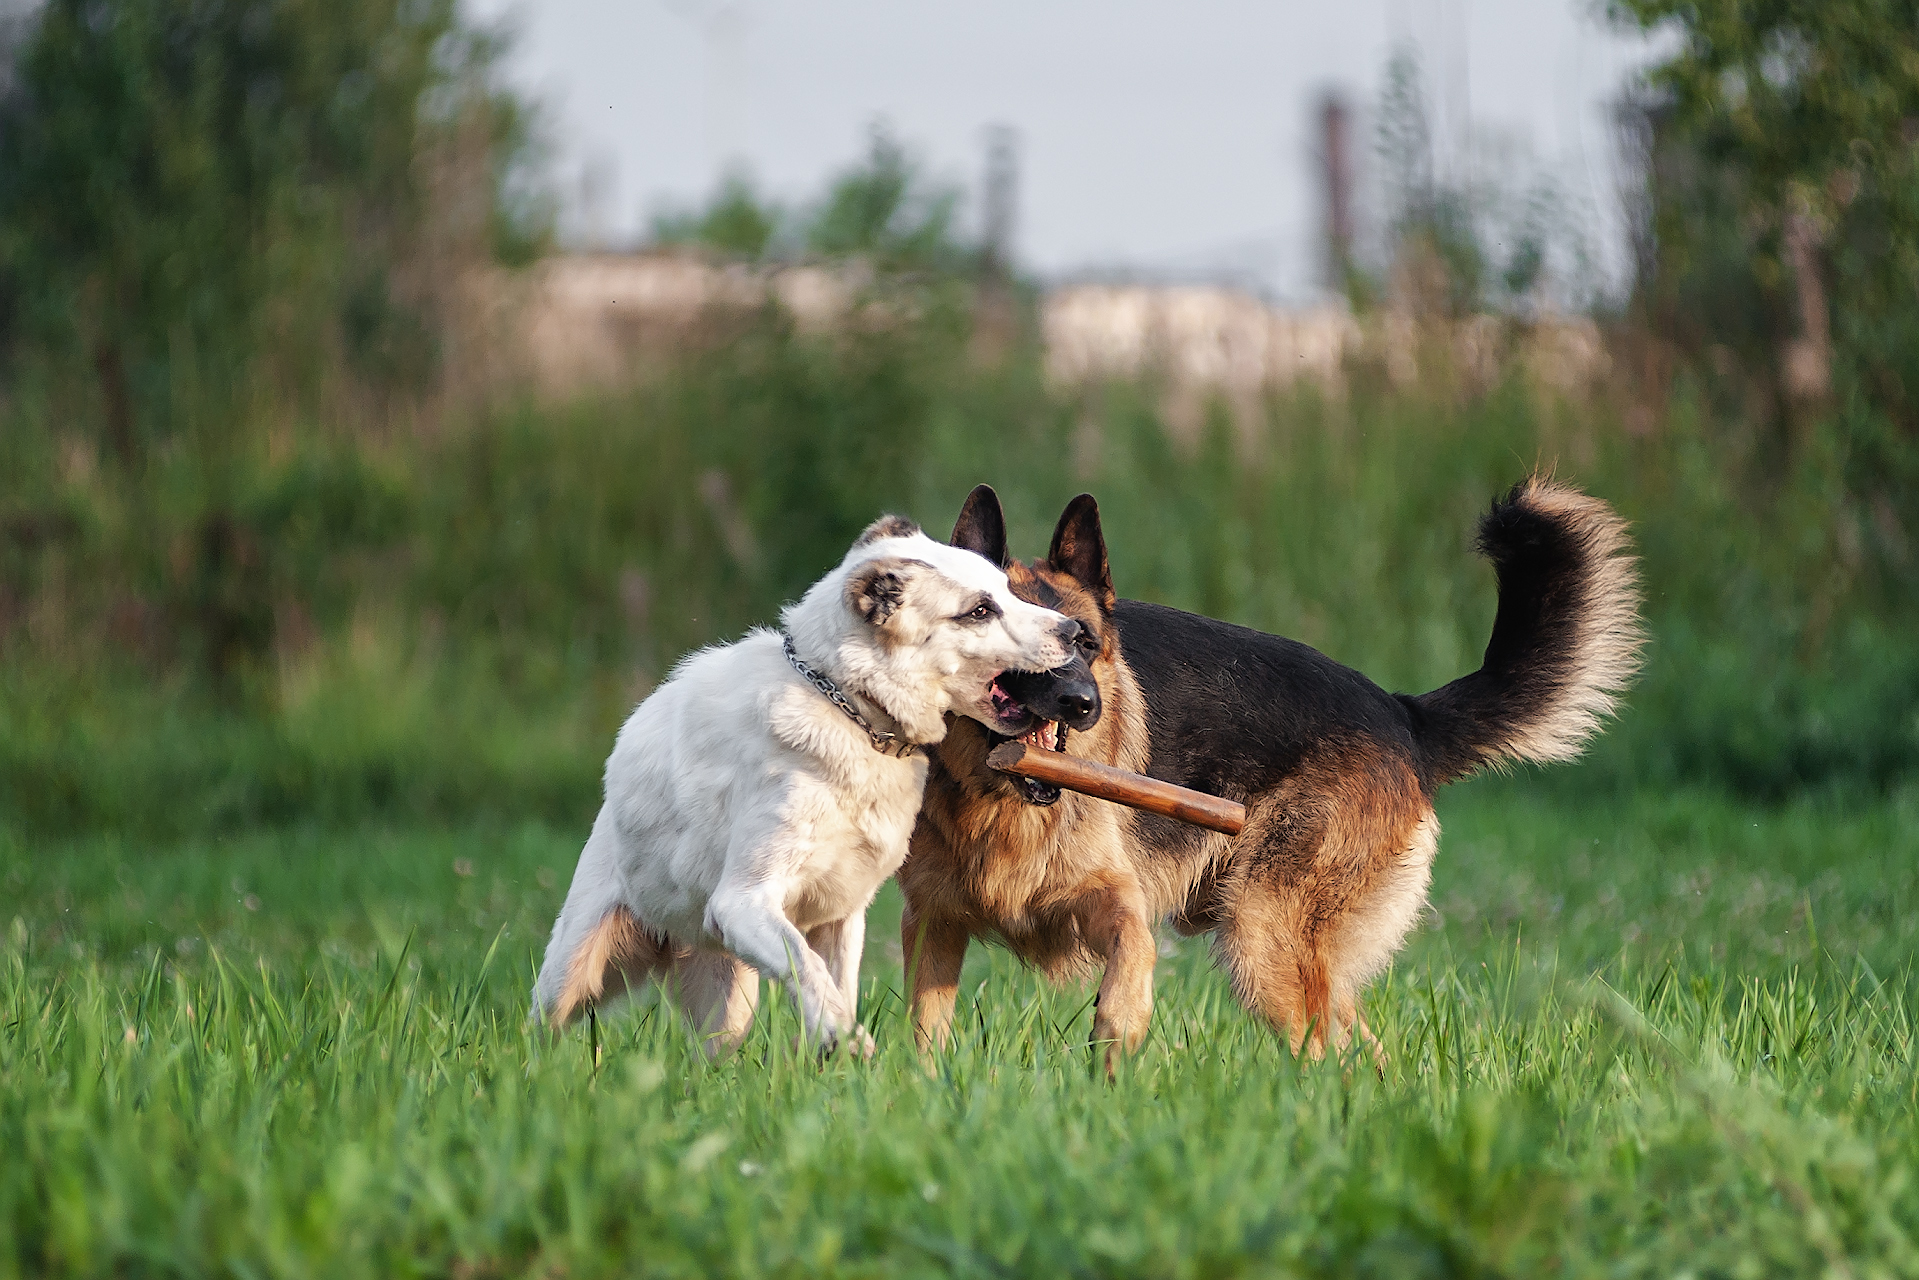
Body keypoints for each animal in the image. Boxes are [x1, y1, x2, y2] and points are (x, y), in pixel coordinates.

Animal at [533, 514, 1082, 1059]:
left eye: (1006, 591)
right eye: (980, 610)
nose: (1075, 631)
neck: (852, 713)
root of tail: (673, 938)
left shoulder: (843, 915)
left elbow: (839, 982)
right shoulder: (743, 902)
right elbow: (809, 970)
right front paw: (844, 1038)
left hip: (727, 1004)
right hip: (571, 971)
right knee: (543, 1030)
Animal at [894, 479, 1634, 1074]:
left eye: (1084, 642)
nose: (1082, 703)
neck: (997, 805)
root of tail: (1402, 713)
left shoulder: (1119, 903)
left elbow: (1130, 961)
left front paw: (1117, 1039)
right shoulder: (931, 924)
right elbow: (923, 1035)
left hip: (1262, 938)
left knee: (1325, 1053)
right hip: (1289, 956)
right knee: (1363, 1053)